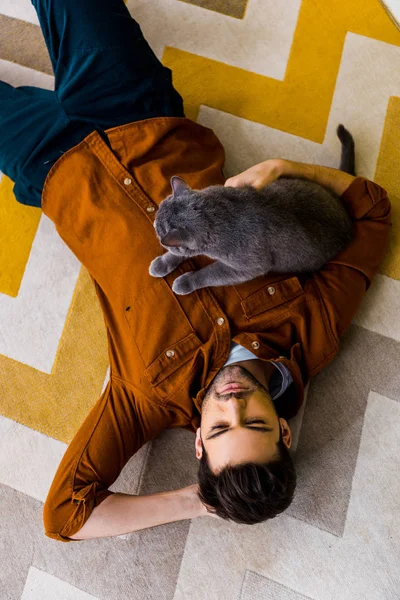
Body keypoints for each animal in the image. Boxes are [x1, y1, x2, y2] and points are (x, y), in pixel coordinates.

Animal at [148, 123, 354, 296]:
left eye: (157, 229)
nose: (153, 224)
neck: (218, 212)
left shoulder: (247, 267)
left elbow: (208, 273)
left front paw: (185, 282)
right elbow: (178, 254)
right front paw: (161, 264)